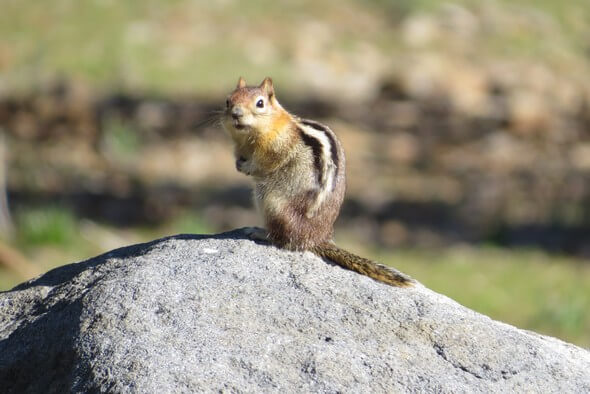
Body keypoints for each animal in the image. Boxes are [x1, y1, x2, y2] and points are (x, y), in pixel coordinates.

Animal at [224, 76, 414, 286]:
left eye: (260, 103)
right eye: (228, 101)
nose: (235, 114)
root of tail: (317, 238)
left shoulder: (277, 148)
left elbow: (265, 163)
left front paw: (248, 167)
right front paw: (238, 164)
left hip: (273, 203)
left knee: (286, 241)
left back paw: (259, 232)